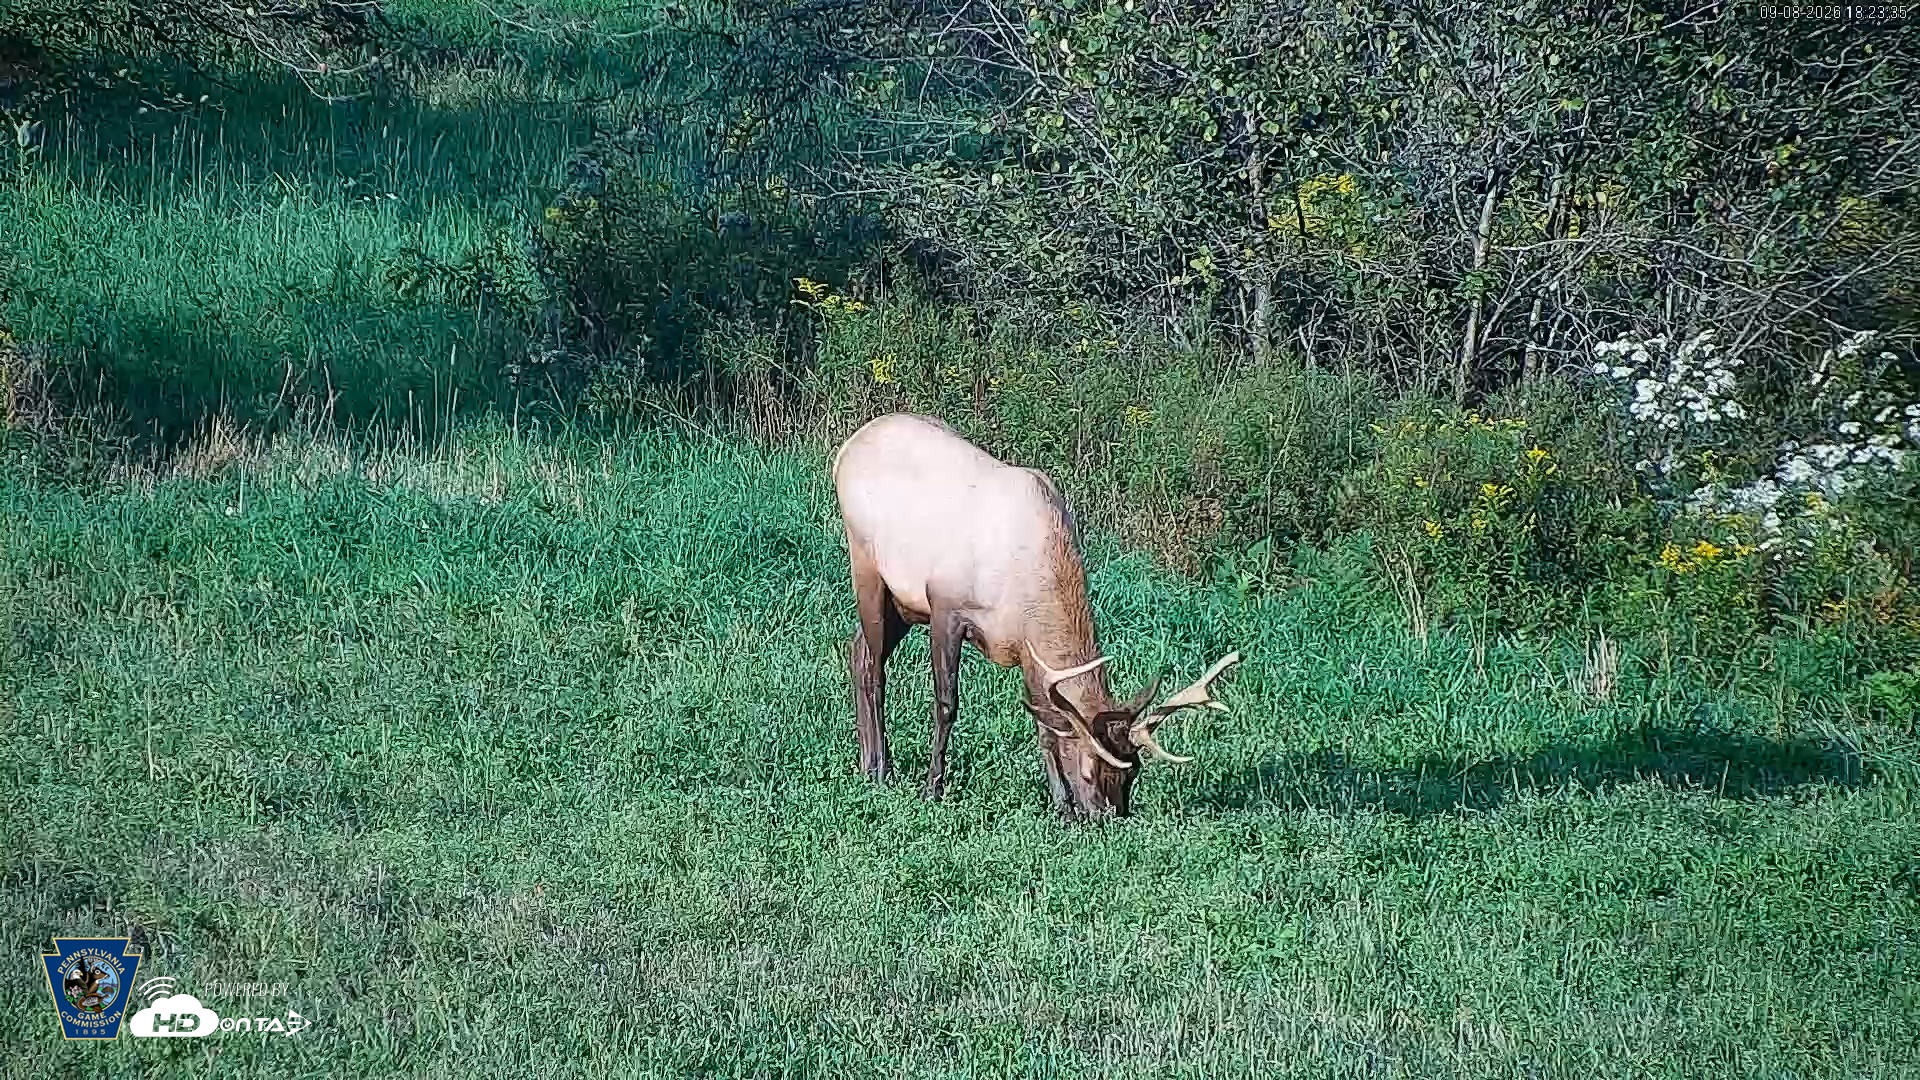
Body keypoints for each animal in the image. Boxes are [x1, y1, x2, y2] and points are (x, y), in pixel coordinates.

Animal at [832, 412, 1240, 817]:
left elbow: (1045, 723)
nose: (1109, 817)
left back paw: (867, 763)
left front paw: (1061, 805)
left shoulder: (1028, 650)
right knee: (873, 666)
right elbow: (947, 704)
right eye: (1090, 771)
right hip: (867, 565)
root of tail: (845, 450)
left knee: (857, 649)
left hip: (904, 605)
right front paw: (932, 787)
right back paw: (879, 768)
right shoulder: (945, 607)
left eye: (1132, 773)